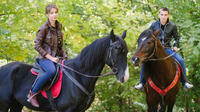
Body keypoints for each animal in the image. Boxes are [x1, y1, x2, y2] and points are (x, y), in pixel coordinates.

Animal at [0, 29, 129, 112]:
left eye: (126, 51)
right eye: (117, 48)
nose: (125, 76)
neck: (80, 75)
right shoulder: (68, 109)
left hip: (16, 104)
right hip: (4, 105)